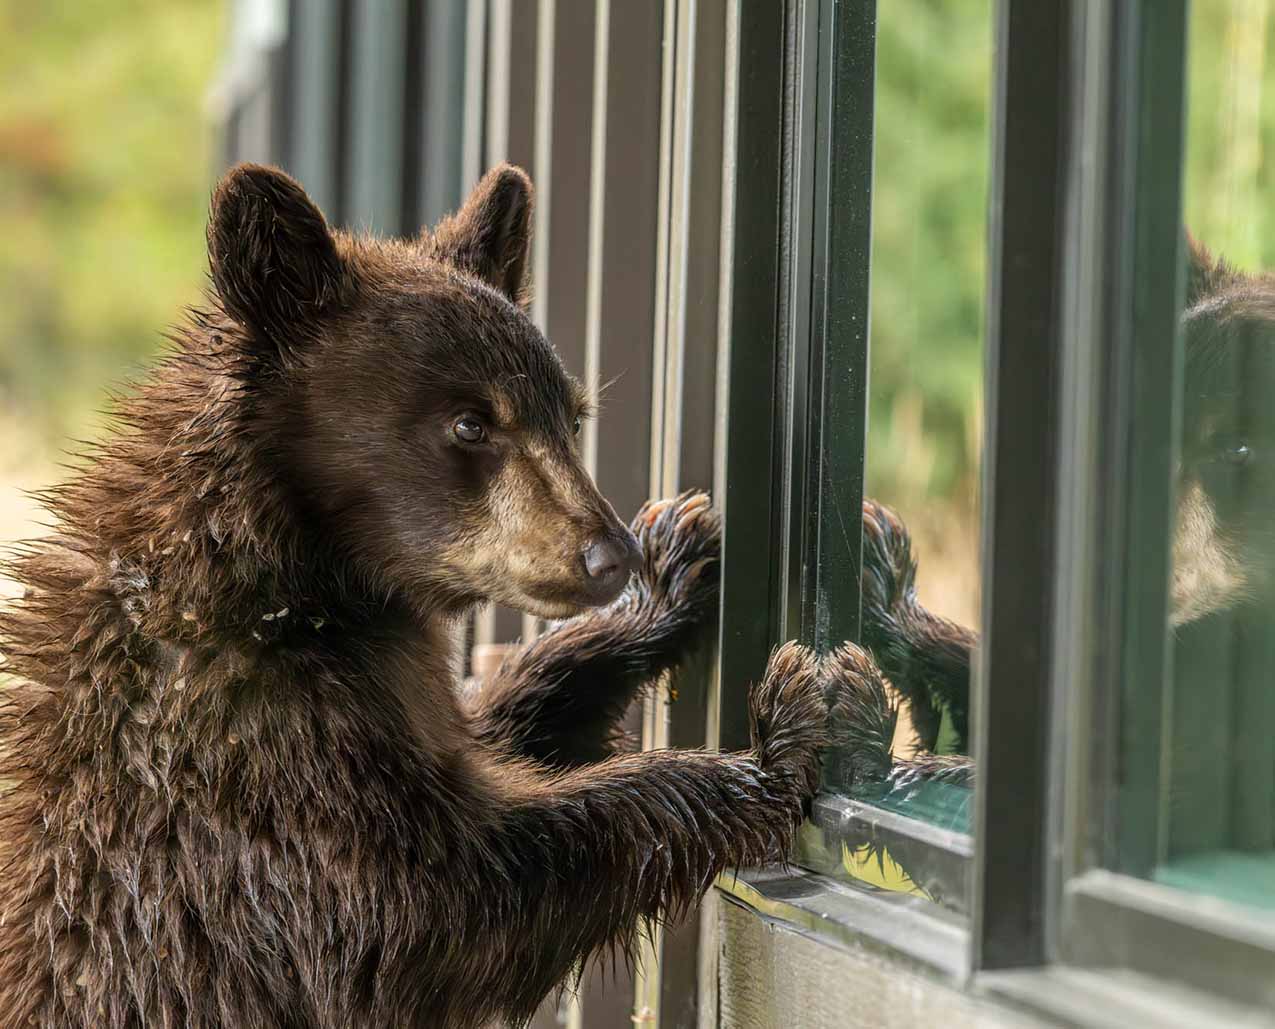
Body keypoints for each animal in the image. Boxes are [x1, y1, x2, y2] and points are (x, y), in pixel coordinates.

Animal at [0, 163, 875, 1028]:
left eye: (571, 415)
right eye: (469, 423)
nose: (610, 554)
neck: (282, 586)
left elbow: (491, 728)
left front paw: (674, 573)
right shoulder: (247, 768)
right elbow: (425, 909)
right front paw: (774, 743)